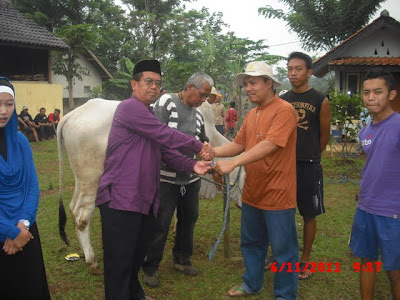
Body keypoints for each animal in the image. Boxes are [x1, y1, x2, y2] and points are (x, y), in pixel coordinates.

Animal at [56, 99, 244, 274]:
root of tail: (70, 115)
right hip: (91, 180)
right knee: (81, 216)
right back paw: (92, 261)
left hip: (81, 181)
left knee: (72, 208)